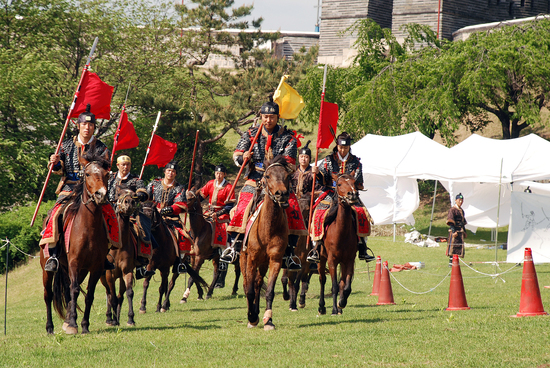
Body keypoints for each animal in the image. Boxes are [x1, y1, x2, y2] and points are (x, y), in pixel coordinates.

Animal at [40, 146, 116, 334]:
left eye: (107, 174)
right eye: (87, 174)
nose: (101, 195)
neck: (88, 228)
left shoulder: (96, 267)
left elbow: (89, 294)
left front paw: (83, 325)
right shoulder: (74, 262)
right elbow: (74, 291)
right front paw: (73, 324)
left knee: (67, 291)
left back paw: (66, 321)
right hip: (48, 269)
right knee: (48, 295)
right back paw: (50, 327)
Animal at [101, 188, 141, 326]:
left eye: (133, 194)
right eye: (118, 194)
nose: (129, 202)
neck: (119, 247)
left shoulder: (127, 271)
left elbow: (129, 293)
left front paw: (130, 318)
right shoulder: (109, 274)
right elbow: (111, 296)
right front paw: (113, 320)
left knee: (120, 296)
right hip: (103, 277)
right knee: (108, 294)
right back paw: (109, 318)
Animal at [242, 156, 294, 330]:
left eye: (287, 176)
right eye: (268, 176)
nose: (281, 194)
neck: (268, 228)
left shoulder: (275, 260)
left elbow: (269, 290)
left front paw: (268, 320)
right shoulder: (251, 259)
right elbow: (249, 290)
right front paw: (251, 317)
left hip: (263, 262)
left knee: (258, 283)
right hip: (244, 258)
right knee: (247, 284)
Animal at [320, 172, 362, 316]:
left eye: (355, 182)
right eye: (339, 184)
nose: (352, 194)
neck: (341, 233)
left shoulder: (349, 260)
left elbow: (346, 286)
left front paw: (341, 303)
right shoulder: (332, 260)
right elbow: (334, 286)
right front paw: (333, 309)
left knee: (342, 282)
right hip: (321, 258)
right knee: (322, 279)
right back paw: (321, 307)